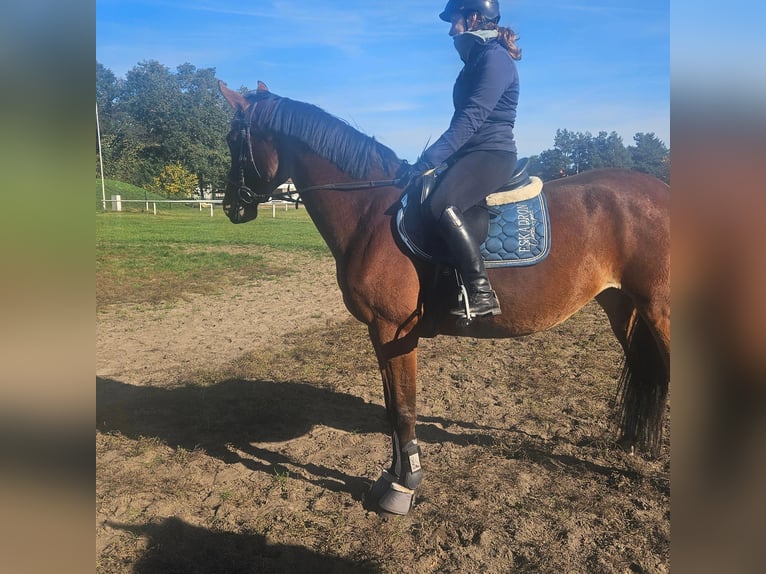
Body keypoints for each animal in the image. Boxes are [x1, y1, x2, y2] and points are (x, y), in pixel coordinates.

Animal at [217, 80, 670, 515]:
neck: (370, 212)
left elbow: (403, 408)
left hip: (659, 310)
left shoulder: (393, 330)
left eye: (233, 139)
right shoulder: (381, 335)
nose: (230, 206)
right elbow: (392, 408)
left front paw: (403, 488)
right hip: (623, 305)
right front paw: (391, 477)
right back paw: (631, 443)